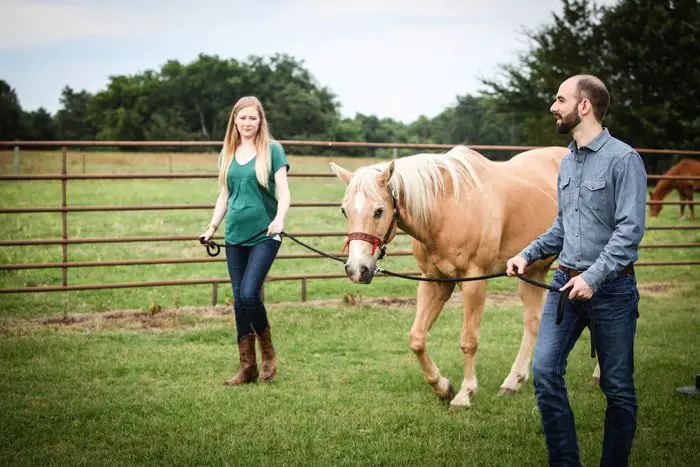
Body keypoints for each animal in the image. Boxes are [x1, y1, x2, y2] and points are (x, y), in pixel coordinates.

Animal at [330, 146, 576, 410]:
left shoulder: (474, 281)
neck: (447, 208)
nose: (357, 269)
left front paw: (465, 394)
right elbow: (417, 339)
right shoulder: (435, 282)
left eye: (379, 211)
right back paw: (513, 382)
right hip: (532, 271)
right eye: (344, 210)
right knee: (532, 323)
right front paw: (443, 387)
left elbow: (469, 341)